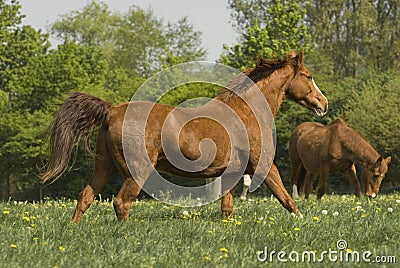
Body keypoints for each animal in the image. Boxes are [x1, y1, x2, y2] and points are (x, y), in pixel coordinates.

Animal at [41, 49, 328, 222]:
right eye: (308, 76)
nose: (323, 104)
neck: (247, 111)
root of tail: (111, 110)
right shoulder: (264, 164)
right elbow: (286, 198)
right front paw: (303, 222)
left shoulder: (232, 172)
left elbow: (227, 207)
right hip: (136, 170)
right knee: (121, 203)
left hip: (104, 166)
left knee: (85, 197)